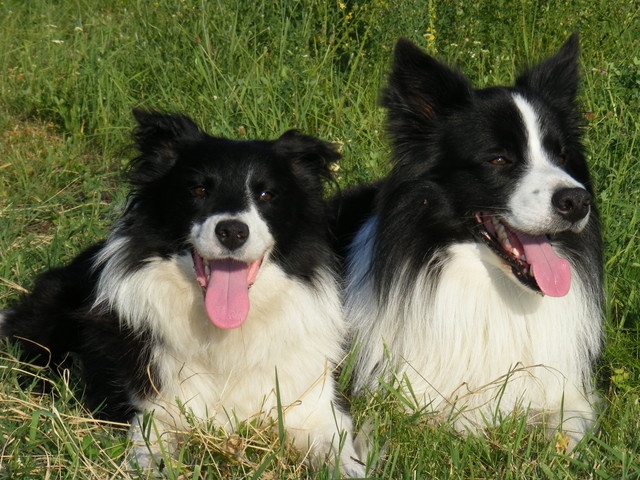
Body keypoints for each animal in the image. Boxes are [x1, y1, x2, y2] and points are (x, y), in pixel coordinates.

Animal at [0, 110, 365, 477]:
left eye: (266, 195)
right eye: (198, 189)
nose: (232, 231)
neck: (226, 335)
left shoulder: (315, 406)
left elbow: (342, 454)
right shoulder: (153, 409)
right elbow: (150, 452)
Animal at [333, 34, 603, 449]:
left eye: (560, 154)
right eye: (498, 159)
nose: (577, 202)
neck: (489, 289)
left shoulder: (566, 393)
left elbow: (568, 427)